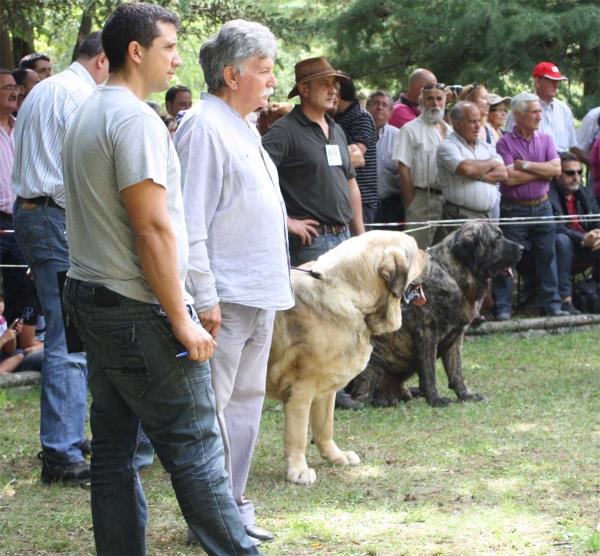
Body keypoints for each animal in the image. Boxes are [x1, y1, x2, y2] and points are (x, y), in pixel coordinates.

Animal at [350, 222, 524, 408]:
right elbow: (429, 373)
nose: (522, 248)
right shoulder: (427, 334)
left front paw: (466, 395)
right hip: (372, 363)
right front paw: (435, 398)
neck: (453, 275)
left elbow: (456, 373)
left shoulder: (456, 337)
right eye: (497, 238)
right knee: (360, 398)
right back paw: (384, 399)